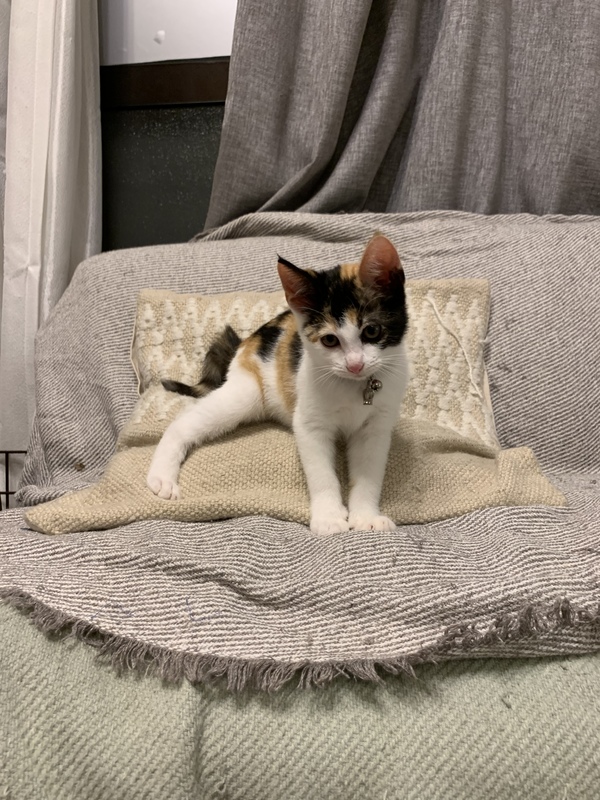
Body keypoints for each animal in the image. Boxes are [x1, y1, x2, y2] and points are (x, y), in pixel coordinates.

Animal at [146, 234, 409, 536]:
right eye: (330, 340)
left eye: (372, 331)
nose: (355, 365)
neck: (352, 386)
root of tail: (248, 341)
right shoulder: (309, 424)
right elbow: (322, 475)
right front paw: (329, 517)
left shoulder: (376, 428)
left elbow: (368, 475)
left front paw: (365, 517)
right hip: (246, 392)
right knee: (185, 421)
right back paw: (162, 476)